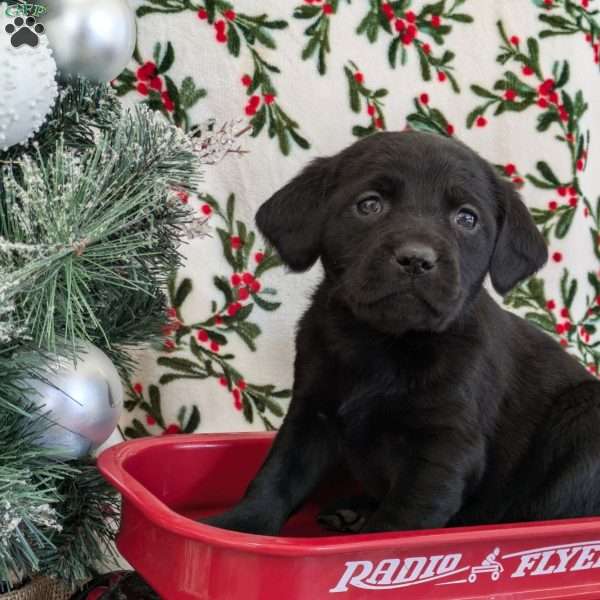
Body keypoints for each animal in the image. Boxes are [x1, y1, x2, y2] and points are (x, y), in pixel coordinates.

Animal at [203, 131, 600, 536]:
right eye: (369, 205)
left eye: (467, 218)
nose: (416, 259)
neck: (383, 343)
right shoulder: (311, 412)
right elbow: (277, 477)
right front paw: (239, 526)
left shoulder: (445, 447)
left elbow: (399, 522)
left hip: (584, 421)